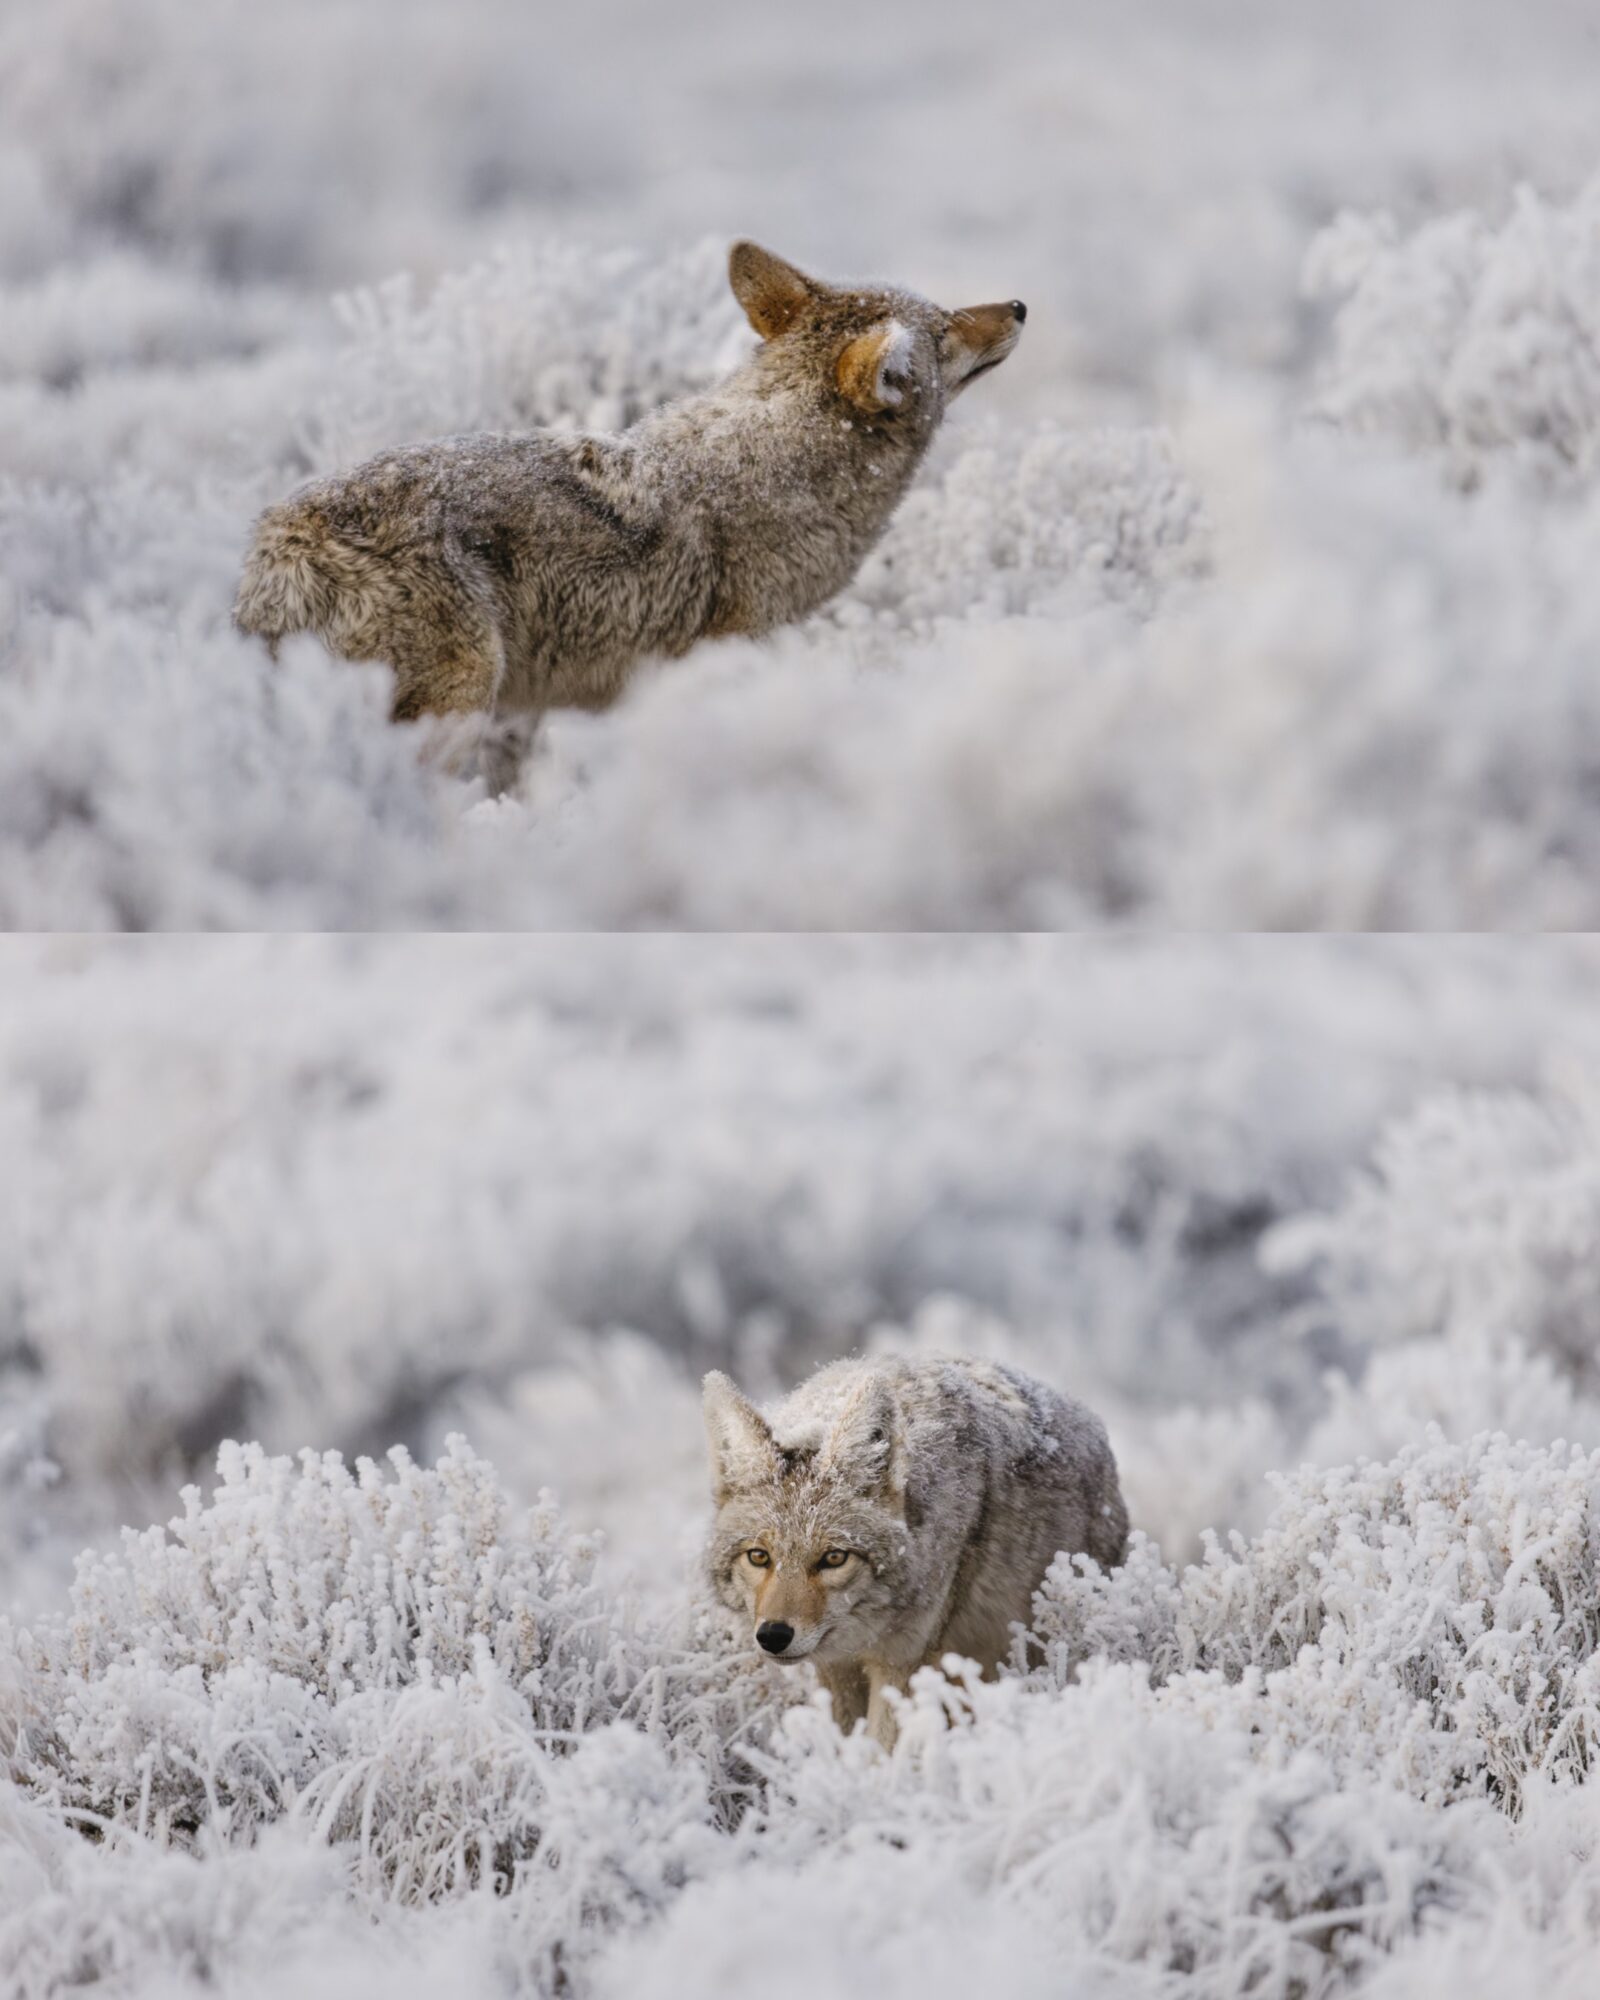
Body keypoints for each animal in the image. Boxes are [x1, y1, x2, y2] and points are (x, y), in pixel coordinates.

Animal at [703, 1353, 1128, 1749]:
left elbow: (879, 1757)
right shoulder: (836, 1669)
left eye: (834, 1558)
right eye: (759, 1557)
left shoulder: (903, 1664)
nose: (773, 1635)